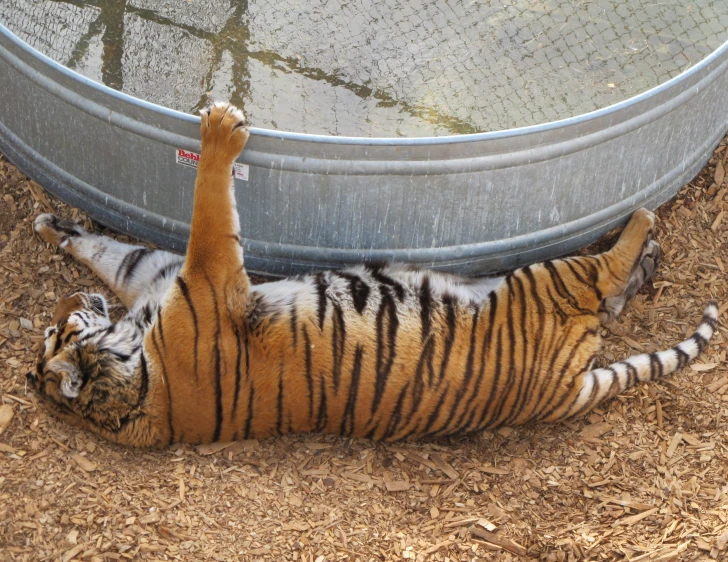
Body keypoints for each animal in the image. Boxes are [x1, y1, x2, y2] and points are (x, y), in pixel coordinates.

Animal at [25, 98, 720, 444]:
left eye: (58, 327)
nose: (66, 306)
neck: (134, 375)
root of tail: (561, 390)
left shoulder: (162, 279)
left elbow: (123, 252)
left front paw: (58, 231)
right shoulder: (209, 275)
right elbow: (208, 206)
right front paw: (222, 128)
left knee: (618, 292)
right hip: (543, 281)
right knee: (605, 278)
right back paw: (641, 223)